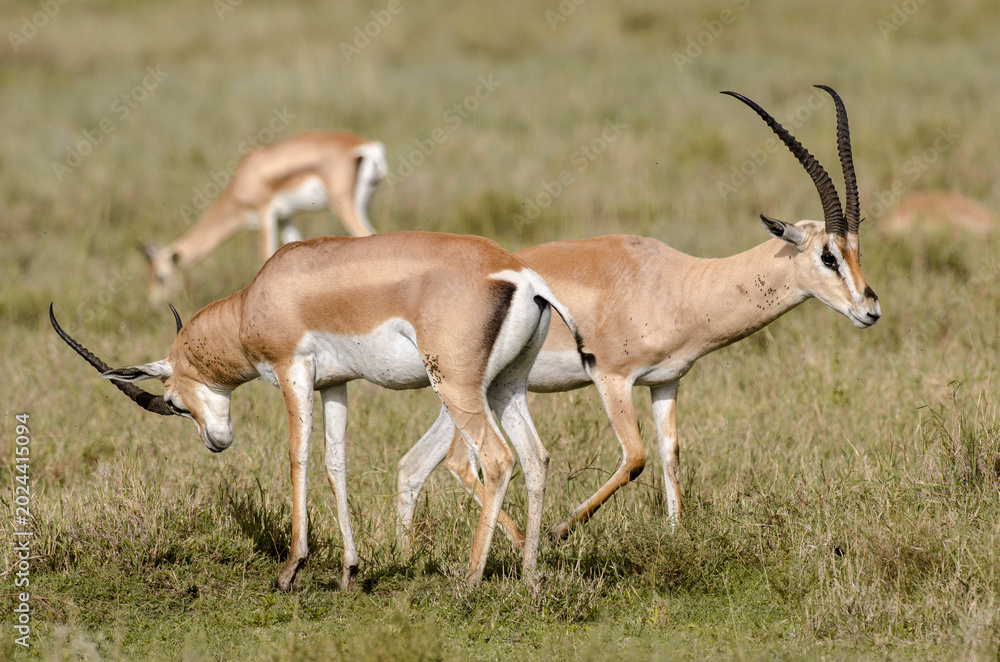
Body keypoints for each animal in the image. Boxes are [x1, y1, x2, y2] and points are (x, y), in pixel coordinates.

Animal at [52, 232, 593, 590]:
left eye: (172, 402)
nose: (215, 441)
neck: (258, 299)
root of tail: (522, 276)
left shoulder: (293, 372)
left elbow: (299, 457)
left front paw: (290, 570)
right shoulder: (335, 384)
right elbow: (336, 463)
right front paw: (350, 572)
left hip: (457, 387)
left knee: (498, 459)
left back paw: (468, 581)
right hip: (506, 386)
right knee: (536, 457)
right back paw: (529, 577)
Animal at [145, 131, 388, 303]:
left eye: (160, 277)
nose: (155, 304)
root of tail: (367, 147)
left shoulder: (265, 213)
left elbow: (266, 254)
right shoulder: (285, 217)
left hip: (343, 206)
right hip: (363, 204)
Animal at [396, 86, 882, 547]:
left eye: (857, 251)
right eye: (827, 256)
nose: (870, 310)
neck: (680, 285)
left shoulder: (665, 382)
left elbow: (670, 454)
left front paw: (676, 535)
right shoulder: (612, 379)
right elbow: (635, 458)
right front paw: (559, 530)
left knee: (418, 464)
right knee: (461, 461)